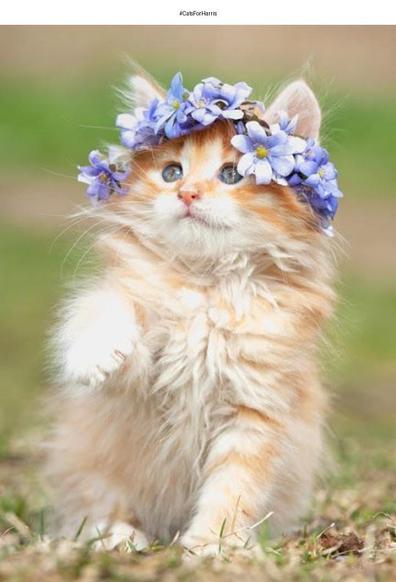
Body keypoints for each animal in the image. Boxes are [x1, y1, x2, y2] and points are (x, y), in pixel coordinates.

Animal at [47, 72, 338, 556]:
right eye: (171, 172)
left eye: (232, 174)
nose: (187, 193)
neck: (206, 285)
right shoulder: (136, 380)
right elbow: (109, 306)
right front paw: (96, 354)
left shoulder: (257, 406)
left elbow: (235, 485)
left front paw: (211, 546)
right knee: (91, 504)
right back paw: (118, 535)